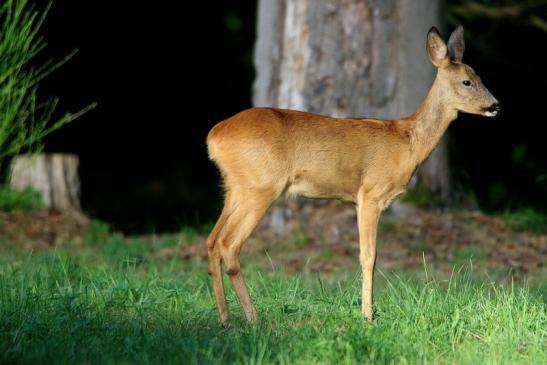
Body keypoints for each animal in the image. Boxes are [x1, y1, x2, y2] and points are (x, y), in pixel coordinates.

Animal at [206, 25, 500, 322]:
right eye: (466, 81)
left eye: (479, 76)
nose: (495, 105)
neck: (408, 142)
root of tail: (214, 136)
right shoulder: (371, 194)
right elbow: (369, 255)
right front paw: (368, 316)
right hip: (261, 186)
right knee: (229, 245)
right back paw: (252, 317)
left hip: (234, 187)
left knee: (212, 241)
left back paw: (225, 318)